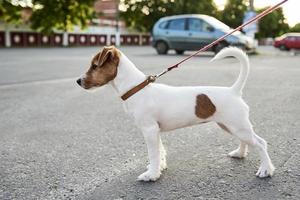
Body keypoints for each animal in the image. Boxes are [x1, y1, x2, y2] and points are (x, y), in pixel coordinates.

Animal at [77, 46, 274, 181]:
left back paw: (266, 170)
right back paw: (240, 154)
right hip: (230, 125)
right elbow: (160, 150)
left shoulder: (149, 130)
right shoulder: (155, 131)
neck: (137, 88)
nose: (78, 81)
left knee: (261, 143)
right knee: (246, 141)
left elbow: (153, 153)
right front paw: (159, 168)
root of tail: (234, 91)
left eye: (94, 66)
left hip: (238, 126)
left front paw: (151, 174)